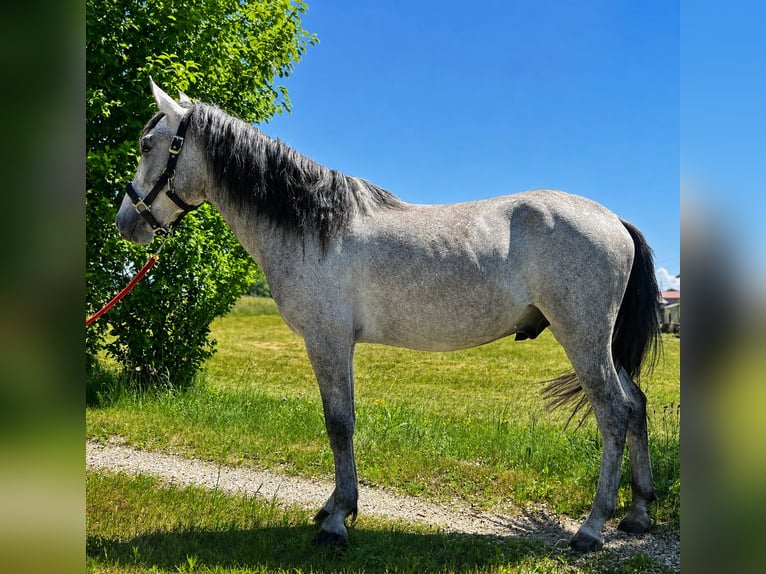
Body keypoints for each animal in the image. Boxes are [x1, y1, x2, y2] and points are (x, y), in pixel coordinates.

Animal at [116, 79, 661, 552]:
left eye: (147, 145)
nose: (126, 222)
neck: (314, 227)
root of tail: (613, 220)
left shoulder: (327, 340)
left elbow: (338, 423)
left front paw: (337, 521)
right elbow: (342, 422)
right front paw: (334, 507)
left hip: (583, 337)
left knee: (613, 412)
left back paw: (592, 529)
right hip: (601, 344)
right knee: (636, 405)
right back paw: (638, 514)